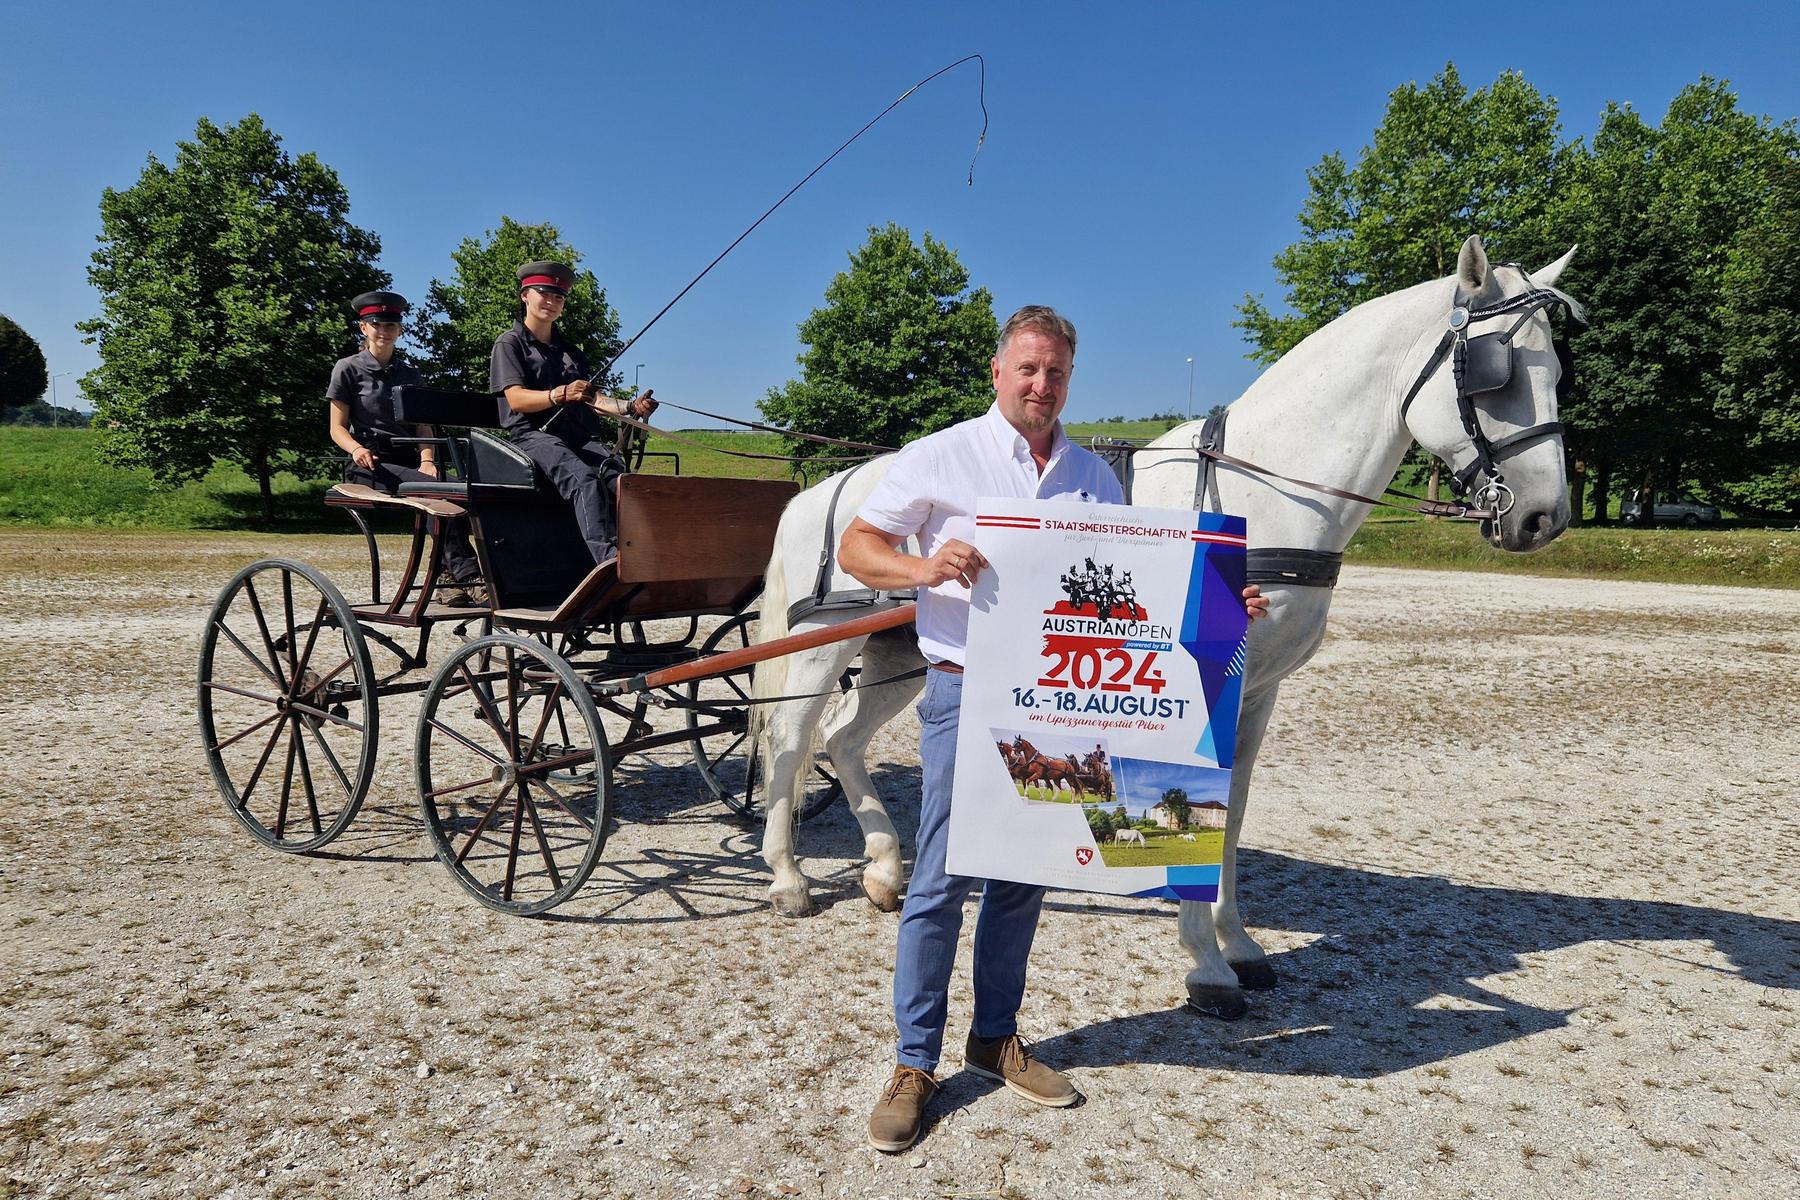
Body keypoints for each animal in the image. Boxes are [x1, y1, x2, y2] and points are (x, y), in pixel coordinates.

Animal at [745, 239, 1576, 1021]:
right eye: (1496, 372)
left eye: (1558, 369)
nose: (1545, 516)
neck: (1260, 494)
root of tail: (829, 486)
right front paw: (1206, 964)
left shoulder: (1258, 690)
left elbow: (1232, 807)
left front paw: (1238, 944)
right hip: (825, 642)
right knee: (791, 743)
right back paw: (787, 877)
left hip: (897, 652)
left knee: (843, 739)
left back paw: (887, 868)